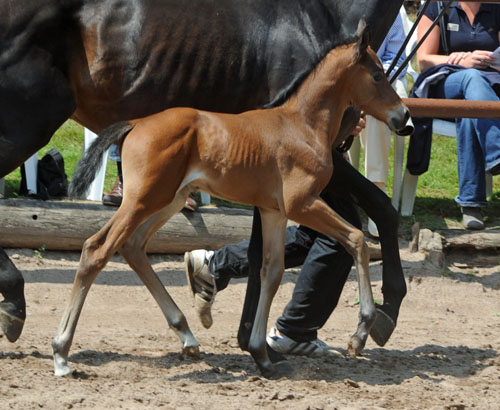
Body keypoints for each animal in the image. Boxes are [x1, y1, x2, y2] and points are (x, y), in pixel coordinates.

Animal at [0, 1, 406, 350]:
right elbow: (356, 237)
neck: (299, 122)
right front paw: (365, 327)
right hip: (113, 178)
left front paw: (256, 342)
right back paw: (49, 337)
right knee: (98, 248)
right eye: (377, 74)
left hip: (169, 198)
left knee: (131, 246)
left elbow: (271, 266)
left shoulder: (275, 208)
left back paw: (186, 332)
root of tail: (136, 123)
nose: (404, 117)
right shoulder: (301, 202)